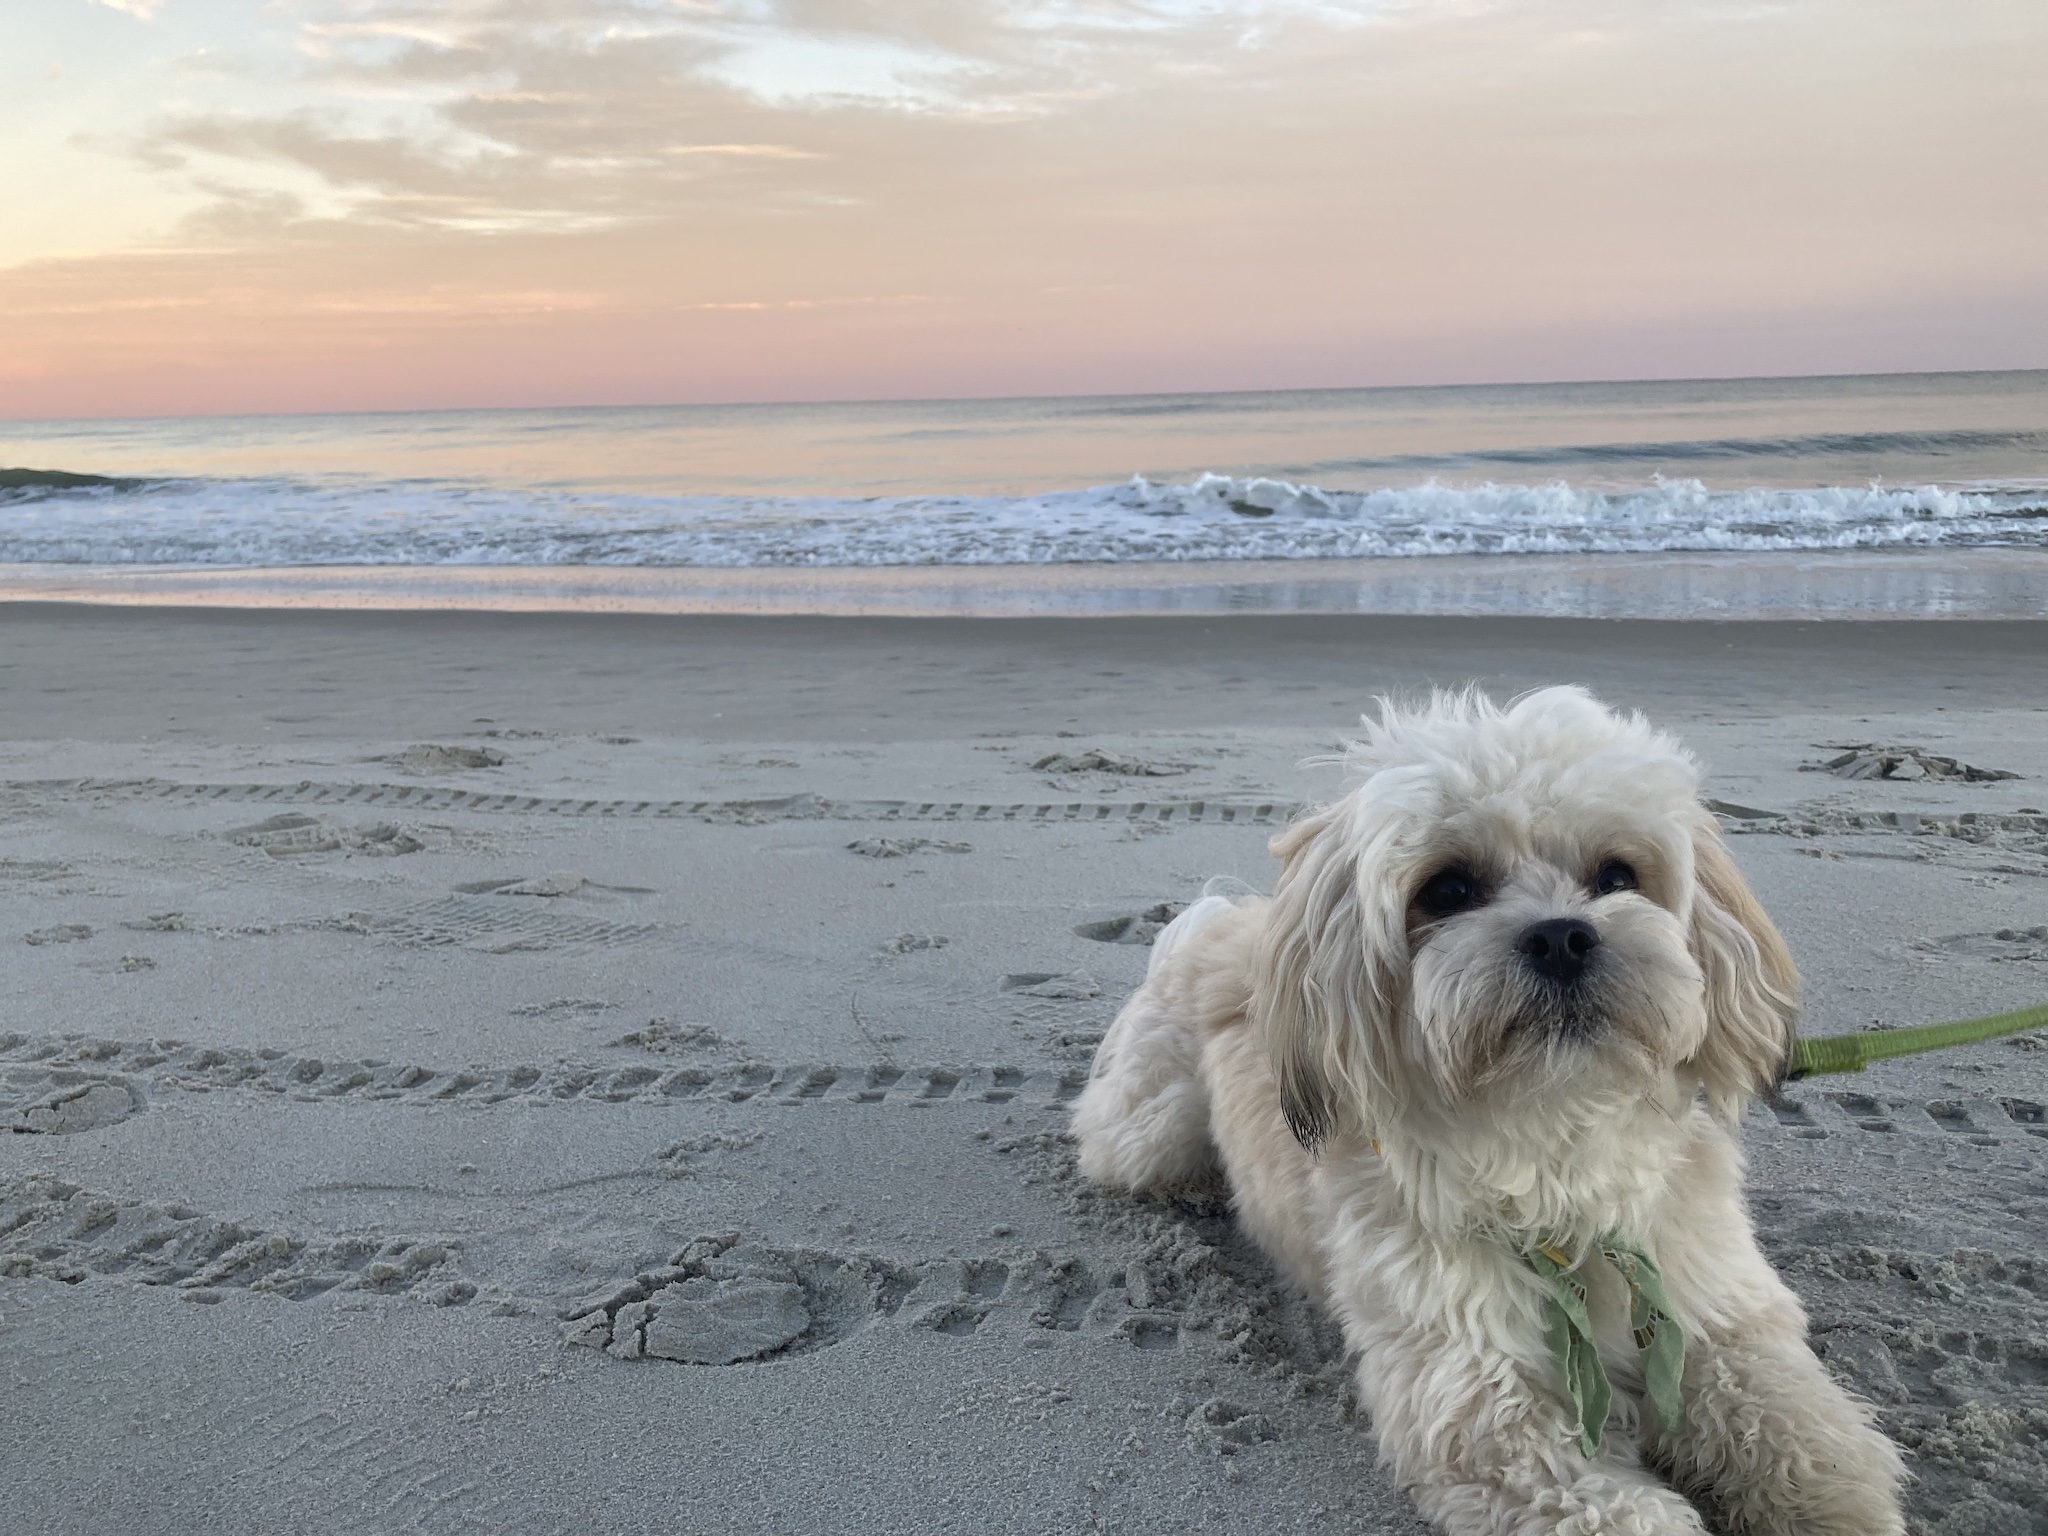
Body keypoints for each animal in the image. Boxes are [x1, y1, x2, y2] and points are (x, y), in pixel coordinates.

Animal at [1073, 688, 1900, 1536]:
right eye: (1447, 890)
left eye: (1617, 873)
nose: (1562, 936)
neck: (1554, 1136)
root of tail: (1212, 924)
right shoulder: (1485, 1410)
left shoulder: (1719, 1315)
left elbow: (1800, 1429)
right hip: (1152, 1128)